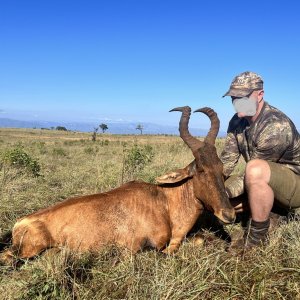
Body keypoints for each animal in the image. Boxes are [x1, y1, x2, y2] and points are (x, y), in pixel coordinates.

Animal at [0, 106, 234, 262]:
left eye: (222, 169)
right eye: (200, 170)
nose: (229, 215)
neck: (164, 202)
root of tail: (19, 223)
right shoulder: (138, 248)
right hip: (26, 250)